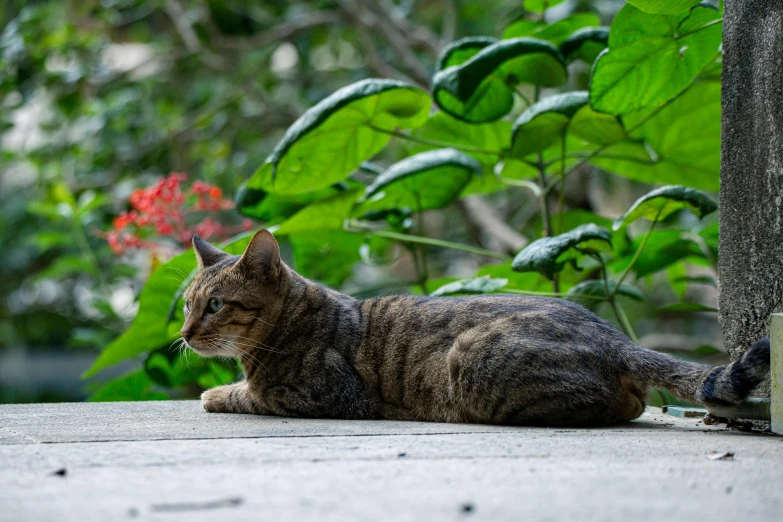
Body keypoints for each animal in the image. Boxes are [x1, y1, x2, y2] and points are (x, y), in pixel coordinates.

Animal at [182, 230, 772, 424]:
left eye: (215, 305)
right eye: (186, 304)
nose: (185, 334)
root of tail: (614, 337)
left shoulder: (321, 394)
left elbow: (243, 394)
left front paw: (215, 392)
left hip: (471, 357)